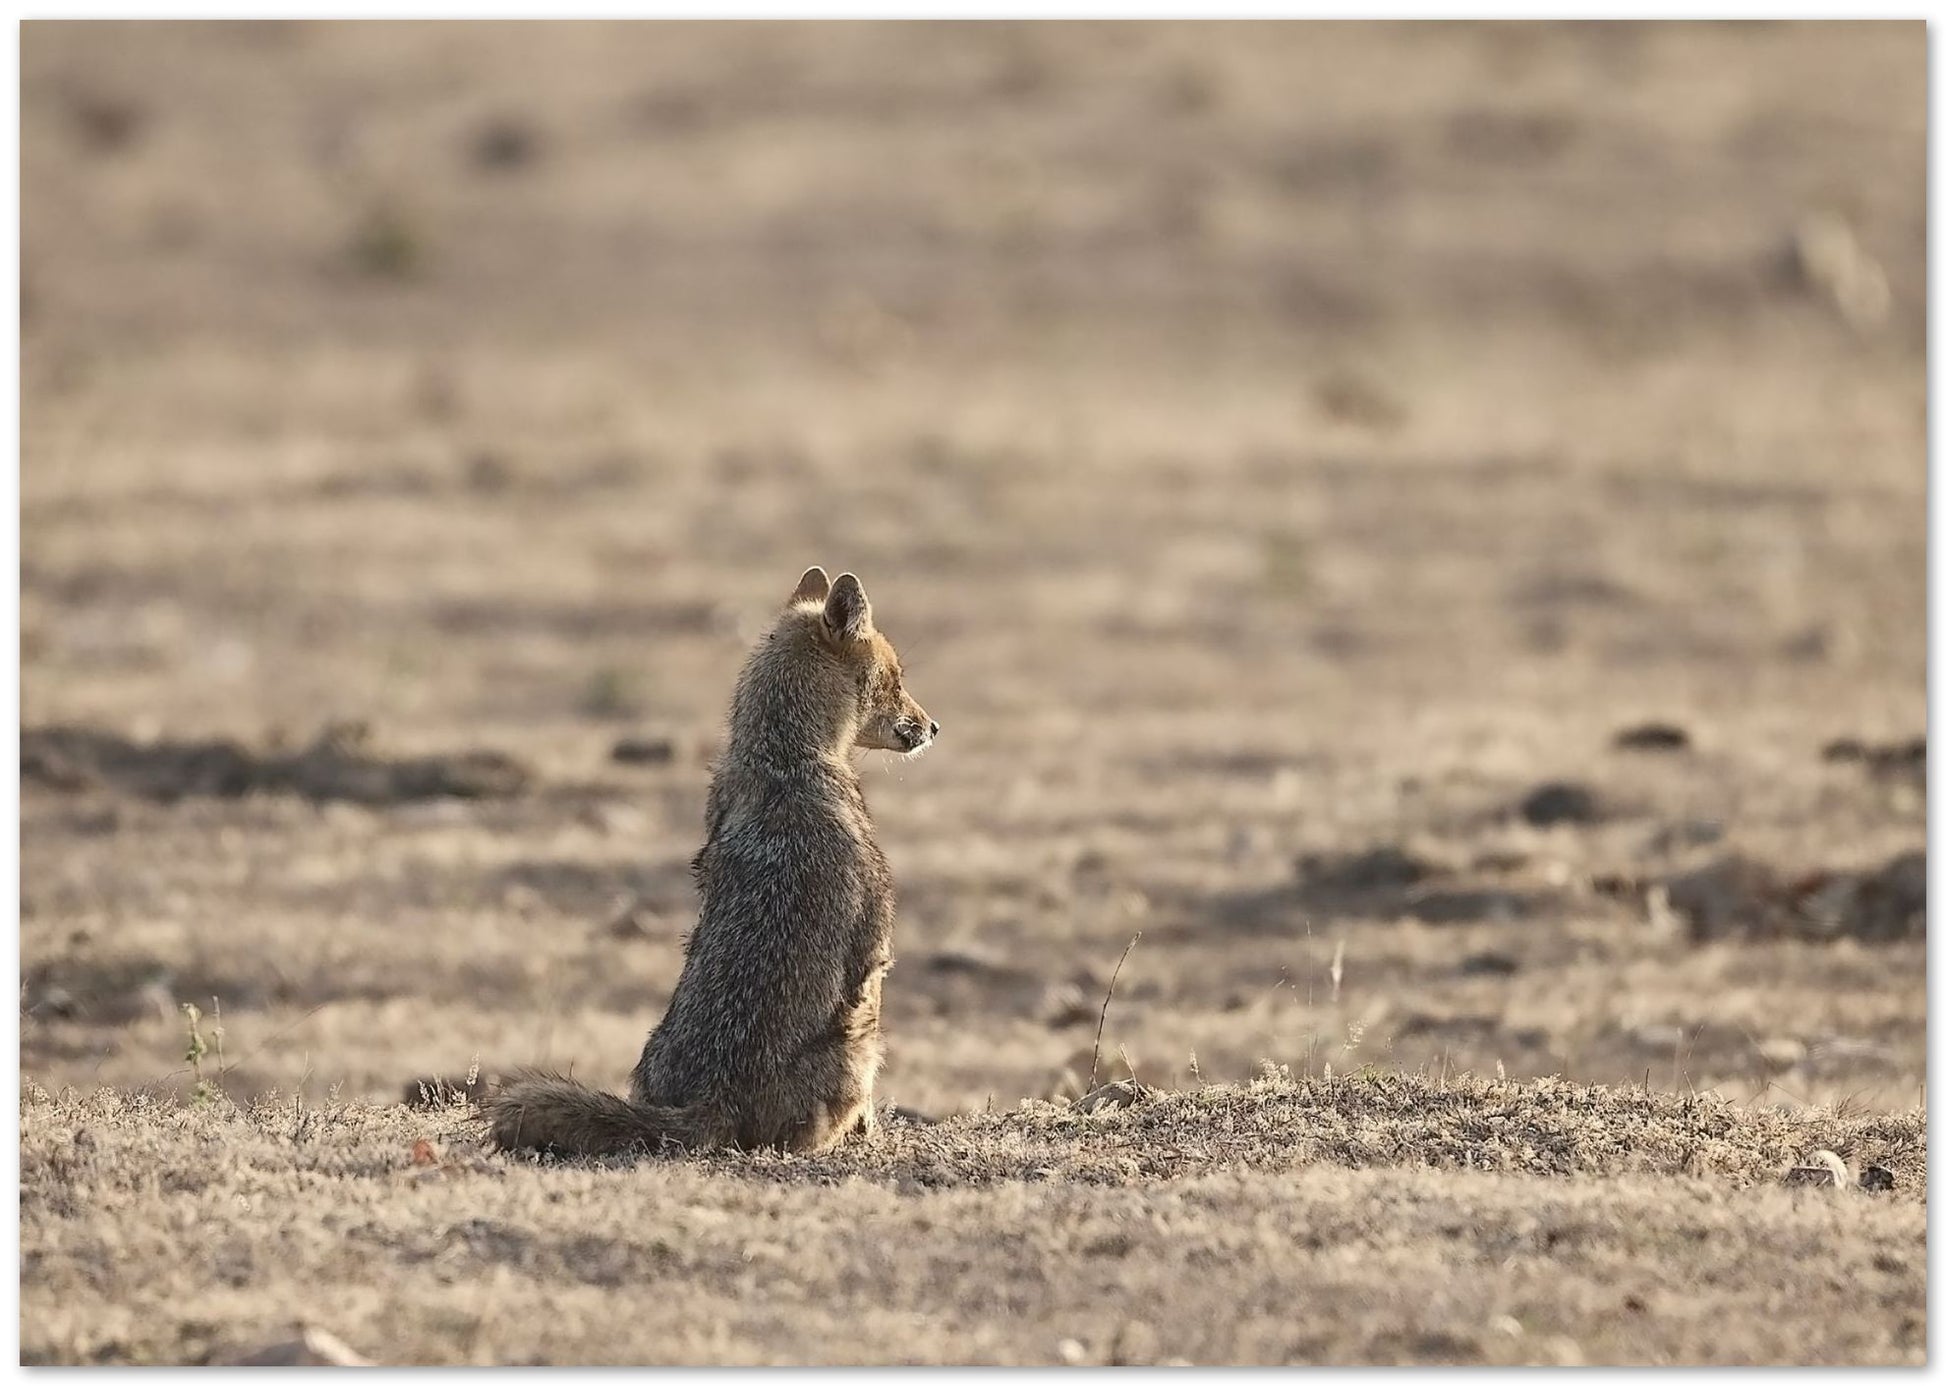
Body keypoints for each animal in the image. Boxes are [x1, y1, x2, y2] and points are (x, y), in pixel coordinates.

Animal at [480, 567, 937, 1158]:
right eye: (897, 679)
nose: (934, 727)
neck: (782, 757)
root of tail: (712, 1098)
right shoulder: (874, 947)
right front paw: (873, 1133)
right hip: (858, 1047)